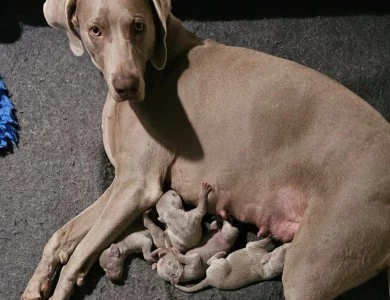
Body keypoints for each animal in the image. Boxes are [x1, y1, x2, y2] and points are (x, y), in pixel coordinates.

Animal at [22, 0, 390, 298]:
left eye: (138, 26)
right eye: (94, 30)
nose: (126, 86)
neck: (161, 63)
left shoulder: (138, 185)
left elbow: (79, 252)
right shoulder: (123, 184)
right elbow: (62, 236)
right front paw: (35, 286)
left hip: (312, 263)